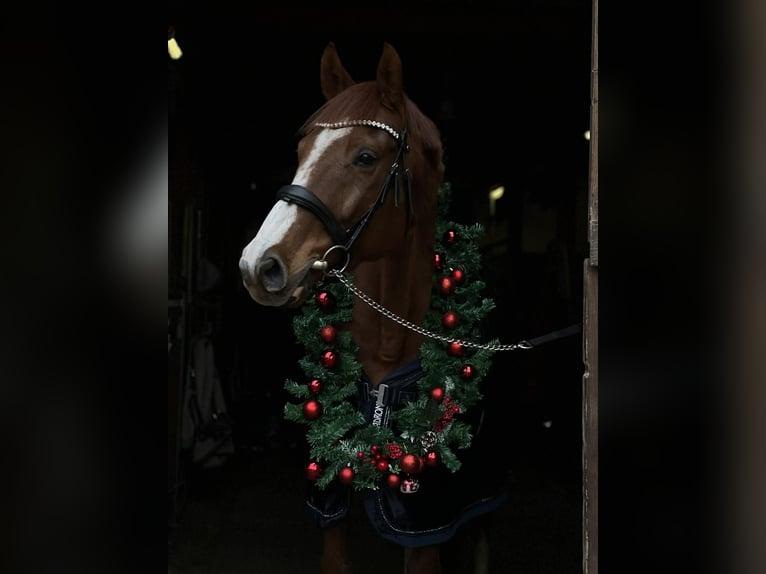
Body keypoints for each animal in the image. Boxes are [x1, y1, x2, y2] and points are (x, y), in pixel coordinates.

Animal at [239, 42, 507, 574]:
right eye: (300, 153)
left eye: (365, 157)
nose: (260, 264)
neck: (387, 346)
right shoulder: (328, 501)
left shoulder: (428, 521)